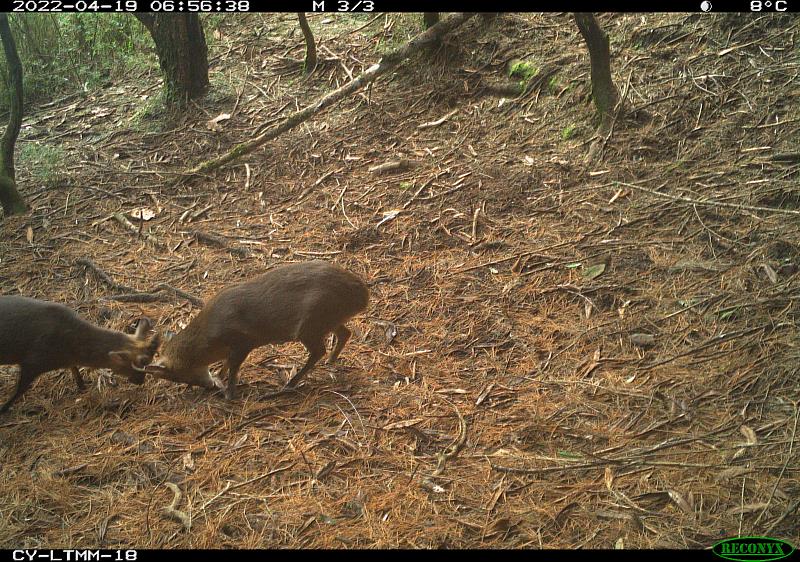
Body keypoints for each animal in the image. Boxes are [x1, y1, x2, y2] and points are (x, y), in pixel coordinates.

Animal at [0, 296, 161, 414]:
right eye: (142, 362)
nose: (140, 381)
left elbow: (75, 370)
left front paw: (82, 387)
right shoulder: (32, 361)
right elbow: (20, 389)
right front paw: (4, 408)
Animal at [145, 262, 370, 398]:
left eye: (178, 376)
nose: (208, 387)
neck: (209, 335)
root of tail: (363, 296)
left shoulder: (244, 341)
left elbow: (234, 366)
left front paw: (229, 393)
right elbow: (227, 364)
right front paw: (219, 375)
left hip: (311, 322)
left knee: (318, 351)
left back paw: (289, 384)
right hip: (326, 320)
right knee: (344, 333)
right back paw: (330, 361)